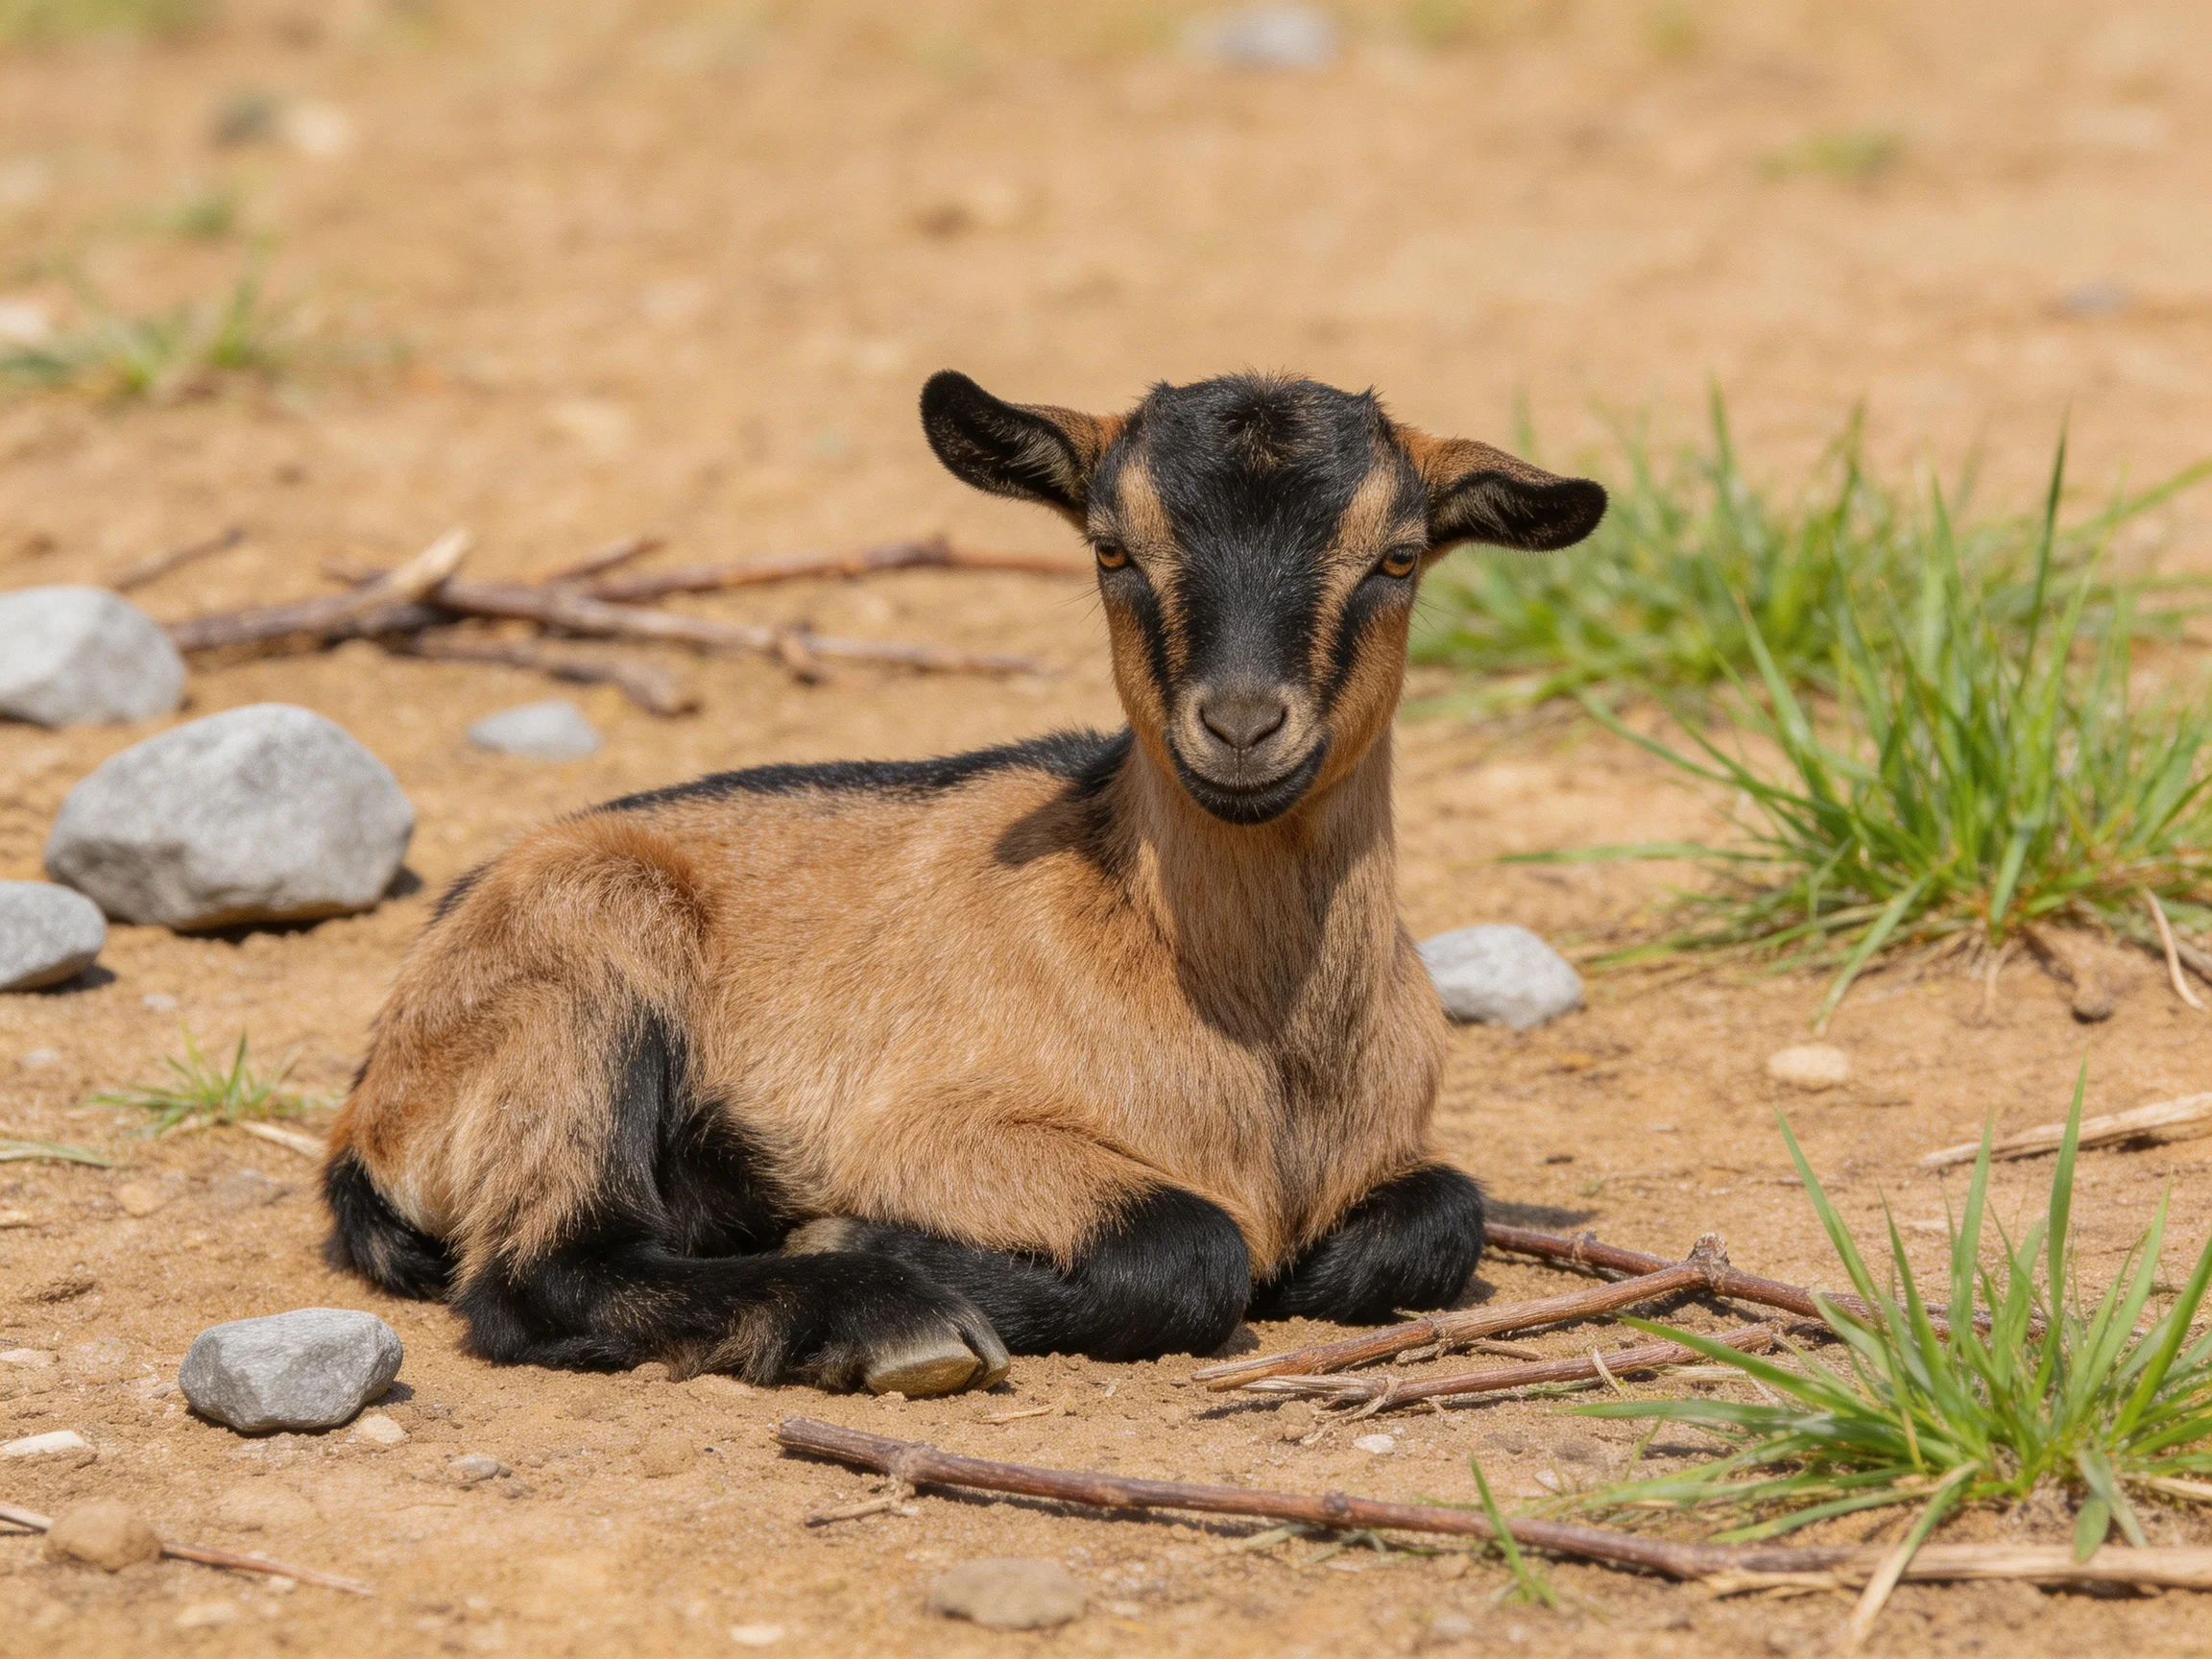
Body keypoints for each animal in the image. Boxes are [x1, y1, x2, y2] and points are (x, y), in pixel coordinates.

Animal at [322, 370, 1606, 1397]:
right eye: (1112, 548)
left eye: (1398, 557)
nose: (1242, 725)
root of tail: (372, 1100)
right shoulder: (932, 1128)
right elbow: (1192, 1246)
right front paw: (850, 1235)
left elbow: (1446, 1216)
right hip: (585, 959)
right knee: (542, 1270)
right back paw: (885, 1317)